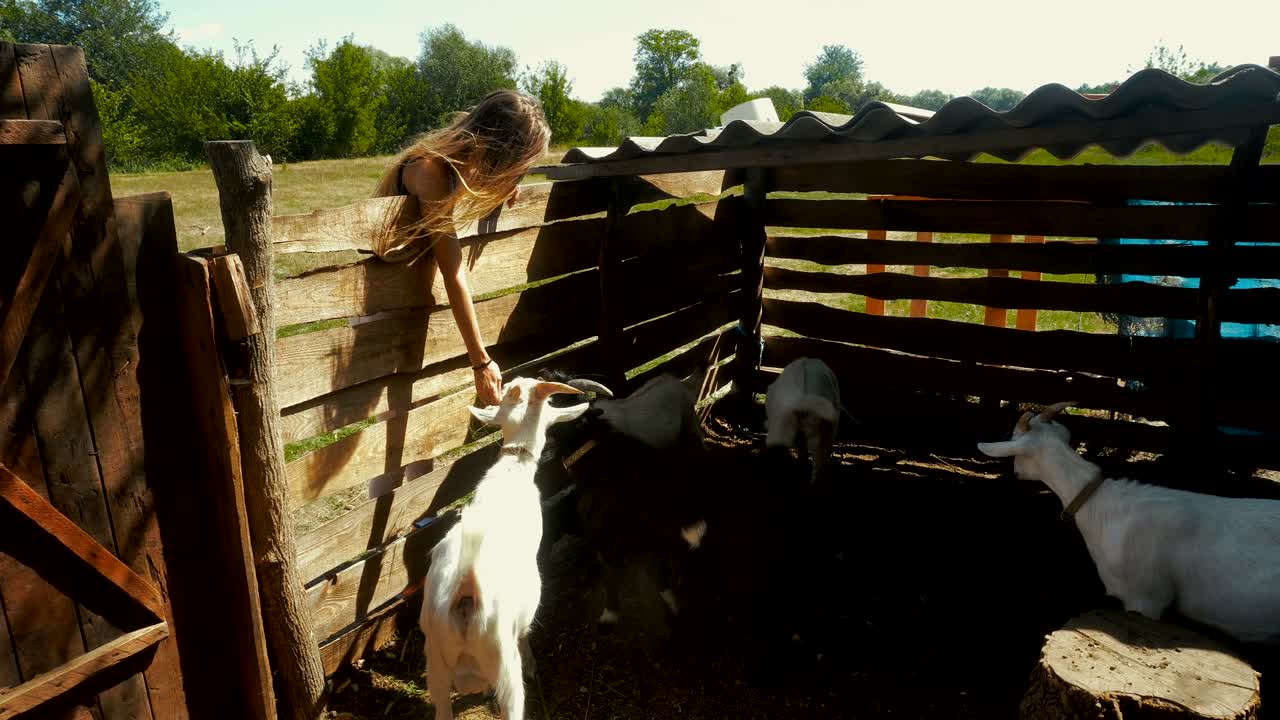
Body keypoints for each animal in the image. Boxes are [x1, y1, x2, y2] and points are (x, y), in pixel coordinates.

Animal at [420, 378, 590, 720]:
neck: (514, 466)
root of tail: (466, 590)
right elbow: (526, 633)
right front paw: (533, 665)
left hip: (436, 665)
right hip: (504, 666)